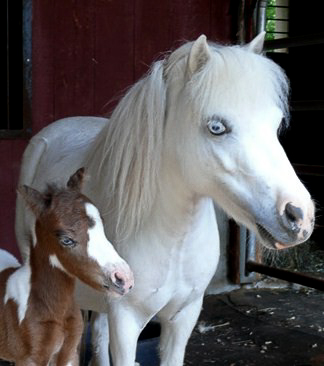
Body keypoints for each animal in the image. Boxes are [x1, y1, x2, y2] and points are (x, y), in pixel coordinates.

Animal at [0, 169, 134, 366]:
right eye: (66, 240)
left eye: (102, 226)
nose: (124, 279)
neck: (56, 309)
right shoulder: (30, 359)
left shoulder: (70, 352)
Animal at [15, 34, 314, 366]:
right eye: (216, 127)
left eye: (275, 124)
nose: (298, 216)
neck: (174, 239)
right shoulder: (126, 321)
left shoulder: (184, 317)